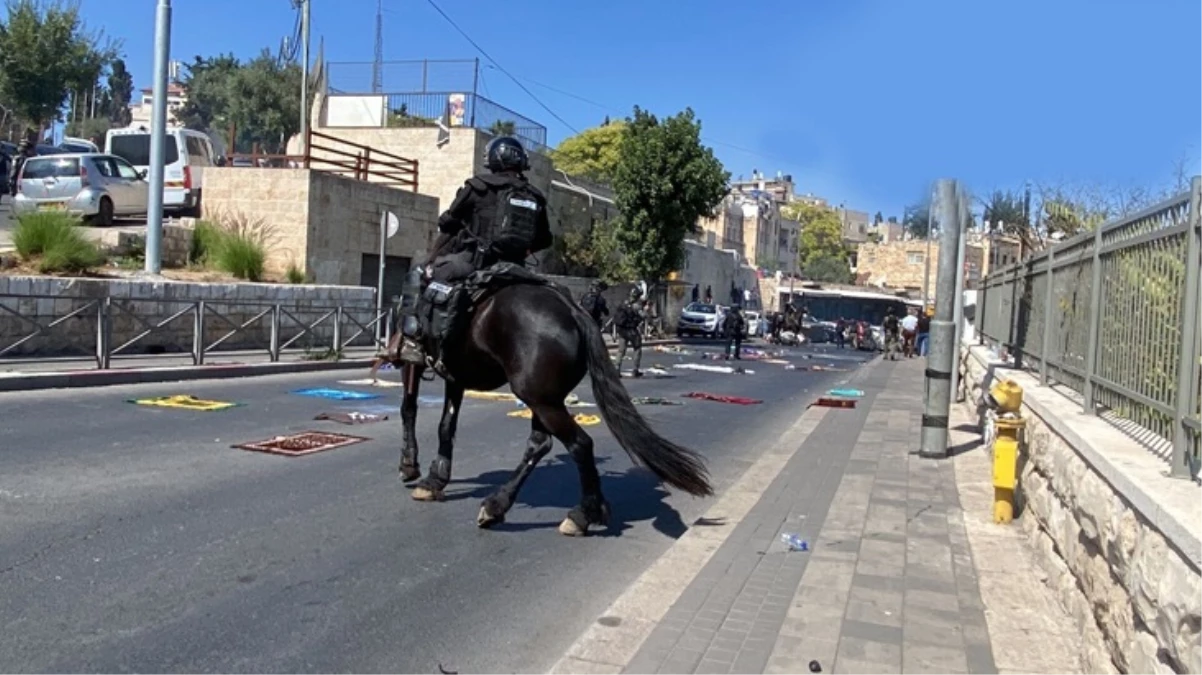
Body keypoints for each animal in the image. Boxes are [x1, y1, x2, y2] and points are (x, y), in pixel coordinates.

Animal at [379, 281, 706, 533]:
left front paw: (410, 466)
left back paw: (582, 514)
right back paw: (498, 505)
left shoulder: (413, 364)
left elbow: (409, 408)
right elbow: (446, 425)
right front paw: (436, 477)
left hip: (540, 399)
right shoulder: (455, 378)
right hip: (543, 398)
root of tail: (574, 312)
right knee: (540, 444)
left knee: (579, 443)